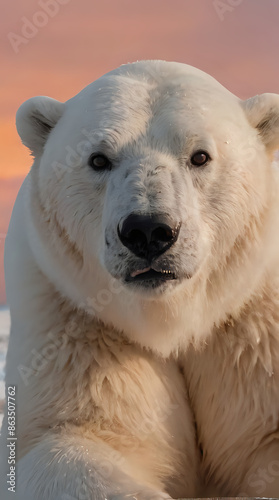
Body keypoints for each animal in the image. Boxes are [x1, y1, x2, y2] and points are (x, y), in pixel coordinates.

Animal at [0, 60, 279, 498]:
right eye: (98, 159)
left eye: (200, 156)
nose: (149, 231)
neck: (172, 317)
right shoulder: (75, 321)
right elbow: (70, 437)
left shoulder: (254, 324)